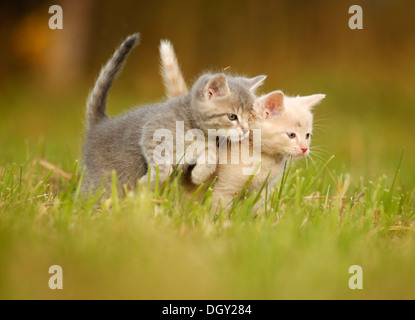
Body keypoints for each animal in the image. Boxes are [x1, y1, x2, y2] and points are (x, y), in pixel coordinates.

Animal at [84, 34, 266, 195]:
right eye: (232, 116)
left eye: (250, 117)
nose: (246, 130)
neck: (195, 130)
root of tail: (100, 124)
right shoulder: (151, 135)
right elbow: (163, 168)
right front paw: (147, 182)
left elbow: (212, 155)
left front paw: (198, 175)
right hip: (103, 182)